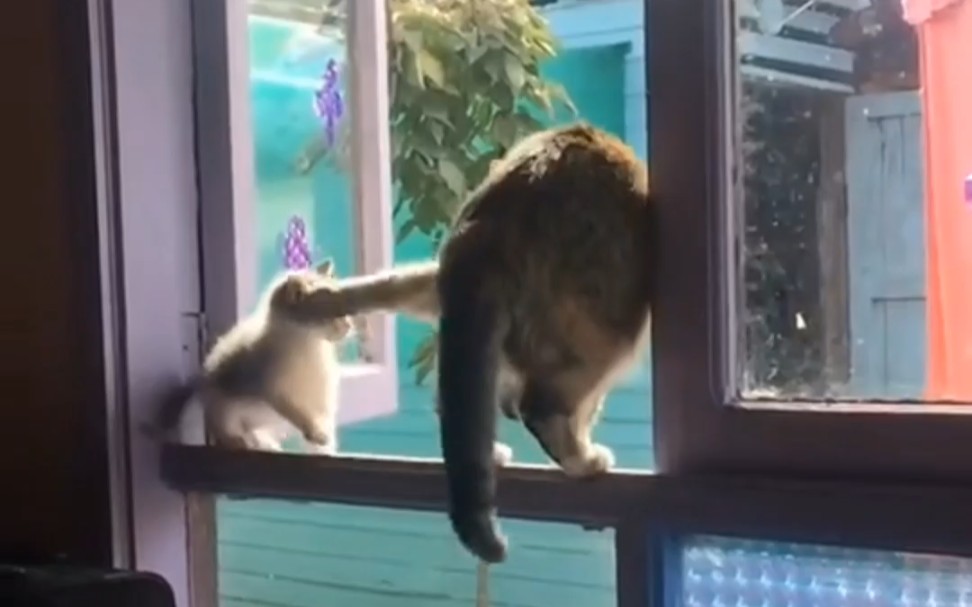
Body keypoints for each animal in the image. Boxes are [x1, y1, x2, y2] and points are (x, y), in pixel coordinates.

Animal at [147, 260, 355, 454]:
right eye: (332, 312)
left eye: (346, 310)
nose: (348, 324)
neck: (309, 348)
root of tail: (200, 388)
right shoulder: (273, 389)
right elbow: (298, 413)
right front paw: (316, 433)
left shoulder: (325, 401)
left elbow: (325, 434)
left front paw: (326, 449)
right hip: (224, 409)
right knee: (228, 431)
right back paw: (240, 442)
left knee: (252, 431)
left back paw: (266, 444)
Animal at [280, 123, 653, 563]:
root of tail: (495, 219)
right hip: (607, 314)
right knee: (542, 404)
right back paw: (580, 456)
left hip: (465, 294)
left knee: (404, 306)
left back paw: (315, 300)